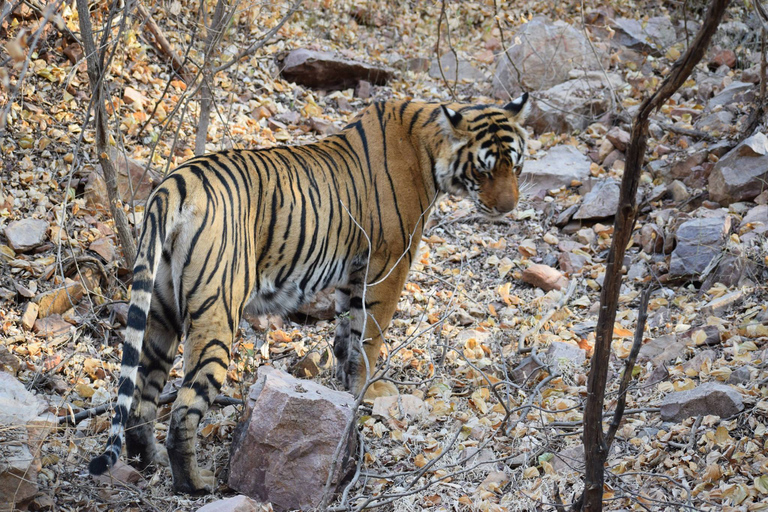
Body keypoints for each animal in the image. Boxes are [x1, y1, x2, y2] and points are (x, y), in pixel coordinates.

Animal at [88, 94, 528, 494]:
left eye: (517, 164)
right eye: (485, 169)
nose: (508, 208)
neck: (430, 146)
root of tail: (173, 186)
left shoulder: (353, 272)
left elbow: (347, 333)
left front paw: (344, 387)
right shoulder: (389, 264)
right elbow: (371, 336)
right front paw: (368, 393)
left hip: (161, 312)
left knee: (141, 398)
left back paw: (150, 462)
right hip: (216, 313)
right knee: (182, 409)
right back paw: (196, 484)